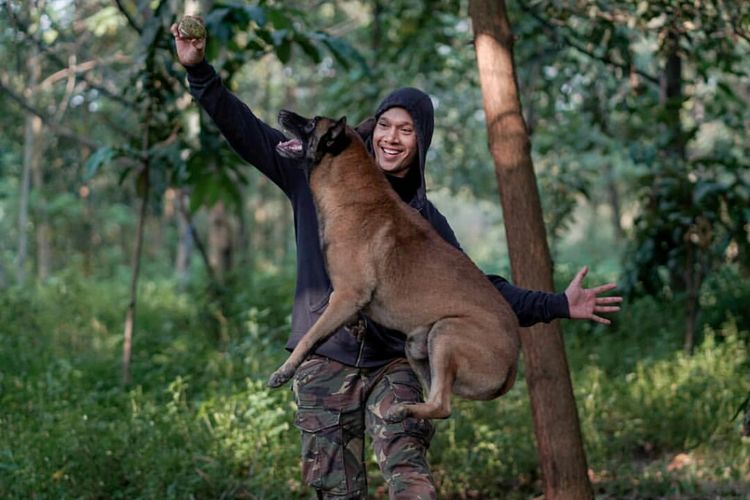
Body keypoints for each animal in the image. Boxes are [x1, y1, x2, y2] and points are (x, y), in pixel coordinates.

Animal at [270, 110, 524, 422]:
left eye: (311, 122)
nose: (282, 112)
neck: (351, 195)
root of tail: (513, 365)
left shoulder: (347, 295)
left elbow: (309, 337)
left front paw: (284, 369)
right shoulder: (343, 301)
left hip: (445, 333)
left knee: (442, 405)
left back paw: (402, 409)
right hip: (416, 344)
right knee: (438, 401)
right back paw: (405, 408)